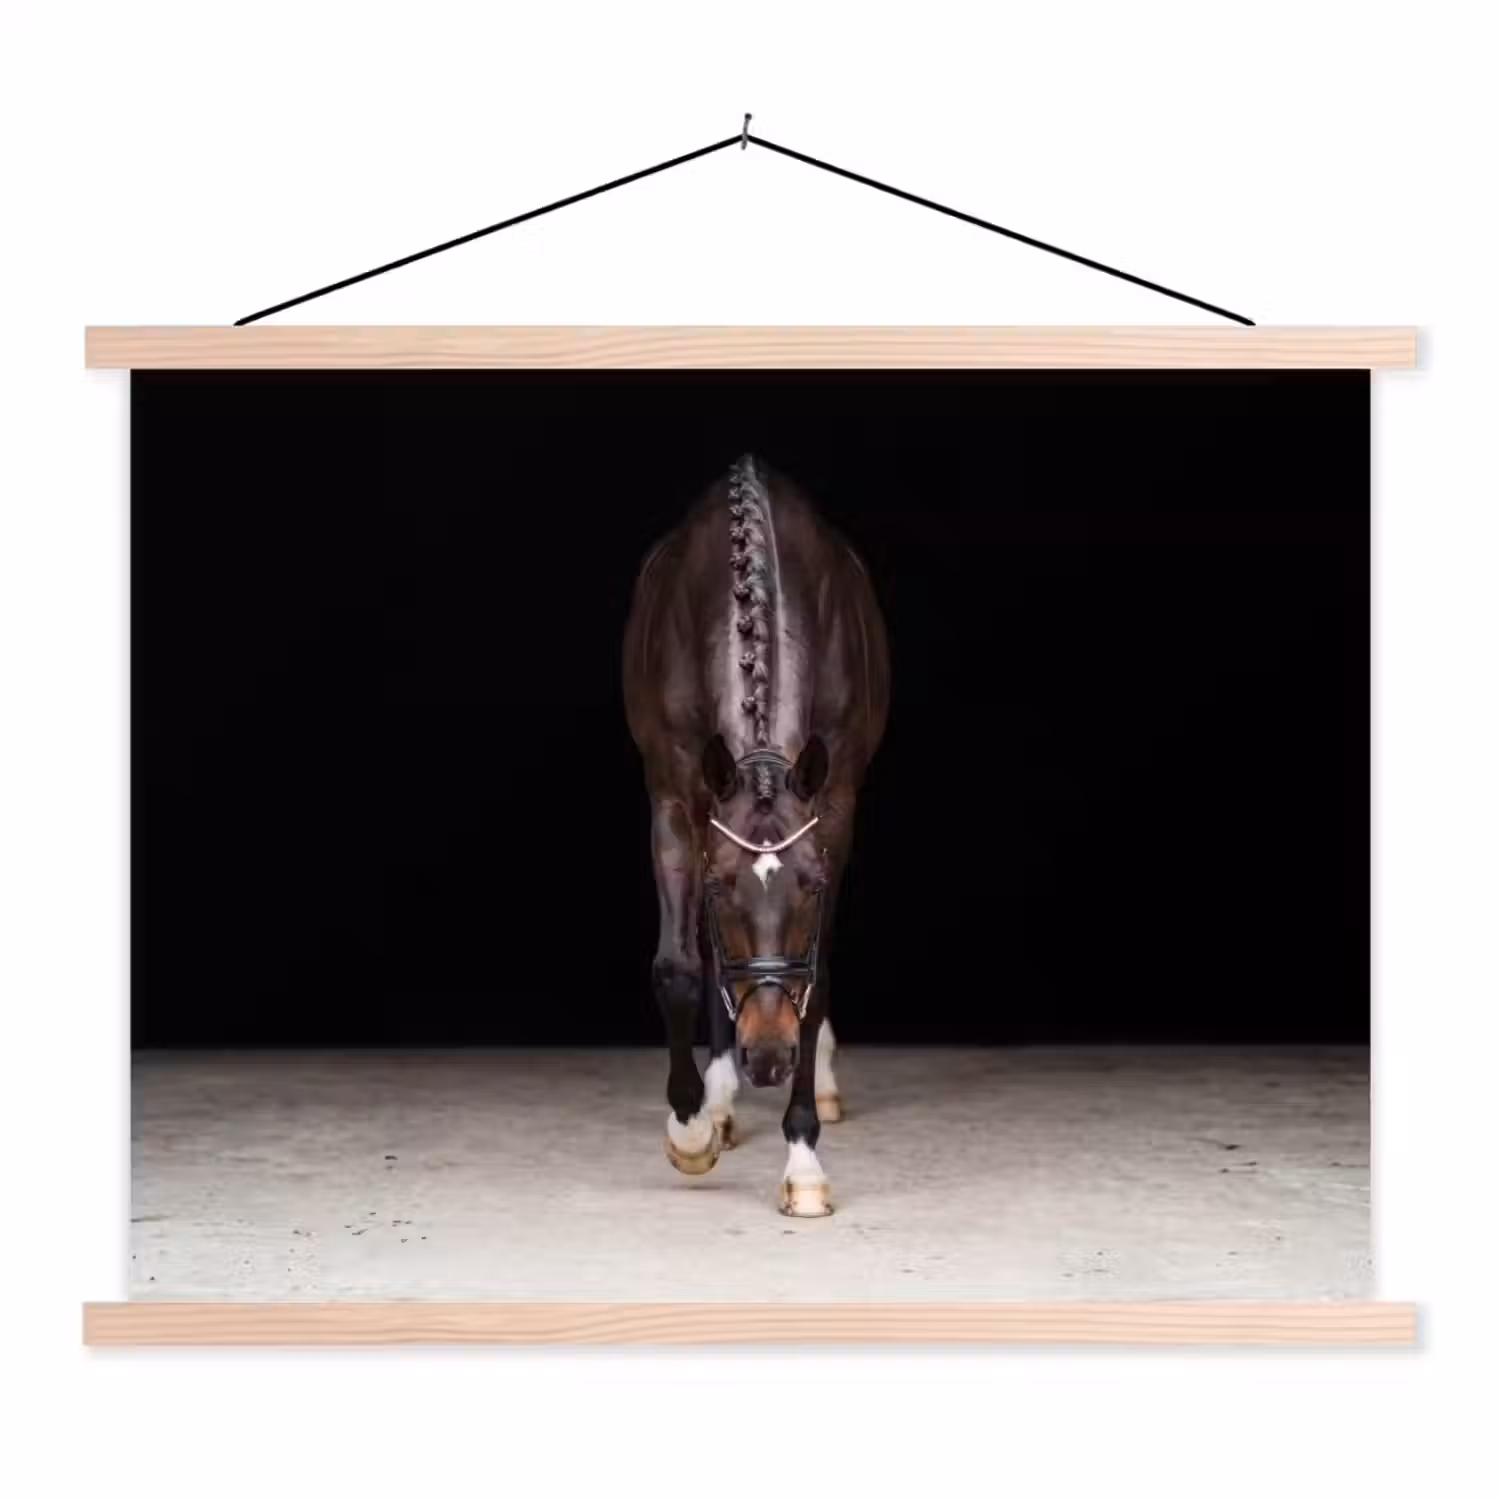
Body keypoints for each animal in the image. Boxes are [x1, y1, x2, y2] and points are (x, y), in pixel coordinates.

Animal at [622, 454, 890, 1216]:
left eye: (812, 887)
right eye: (719, 889)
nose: (768, 1056)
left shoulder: (835, 807)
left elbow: (815, 977)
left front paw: (803, 1161)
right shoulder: (675, 799)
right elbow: (681, 967)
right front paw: (690, 1129)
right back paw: (718, 1102)